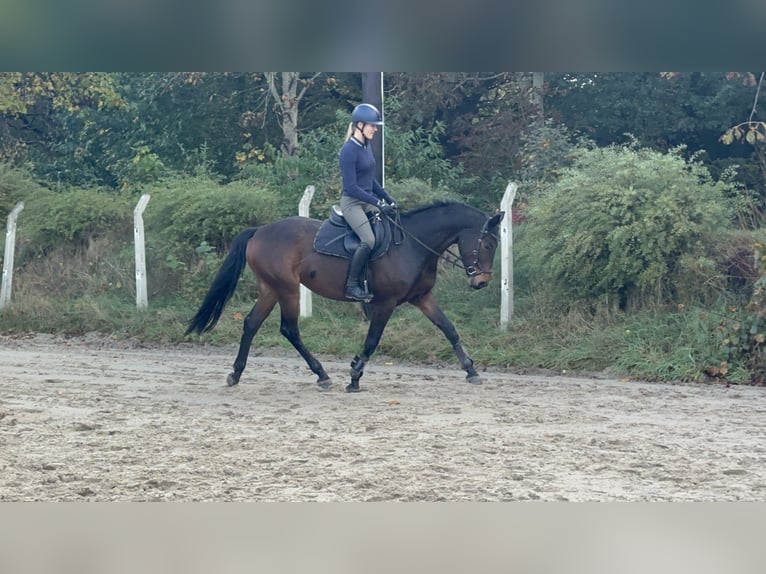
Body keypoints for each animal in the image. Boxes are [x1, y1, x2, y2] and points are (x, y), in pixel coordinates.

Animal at [185, 200, 505, 392]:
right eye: (488, 244)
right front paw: (354, 376)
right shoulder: (385, 303)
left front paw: (471, 370)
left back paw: (236, 373)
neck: (413, 244)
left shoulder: (422, 297)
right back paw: (322, 375)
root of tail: (259, 231)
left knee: (251, 323)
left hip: (270, 289)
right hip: (287, 289)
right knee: (289, 329)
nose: (482, 282)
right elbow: (373, 340)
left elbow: (449, 329)